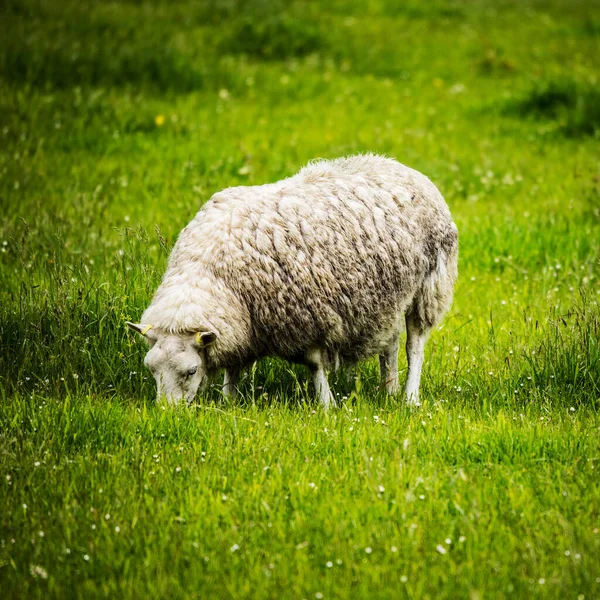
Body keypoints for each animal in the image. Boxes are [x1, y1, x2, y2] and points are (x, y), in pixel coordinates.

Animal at [125, 154, 454, 408]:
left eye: (191, 371)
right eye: (150, 368)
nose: (169, 412)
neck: (211, 273)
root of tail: (398, 165)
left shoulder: (311, 317)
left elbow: (316, 365)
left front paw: (326, 405)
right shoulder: (242, 323)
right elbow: (233, 366)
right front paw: (228, 400)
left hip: (429, 288)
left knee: (414, 345)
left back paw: (409, 397)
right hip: (389, 296)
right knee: (390, 344)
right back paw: (390, 389)